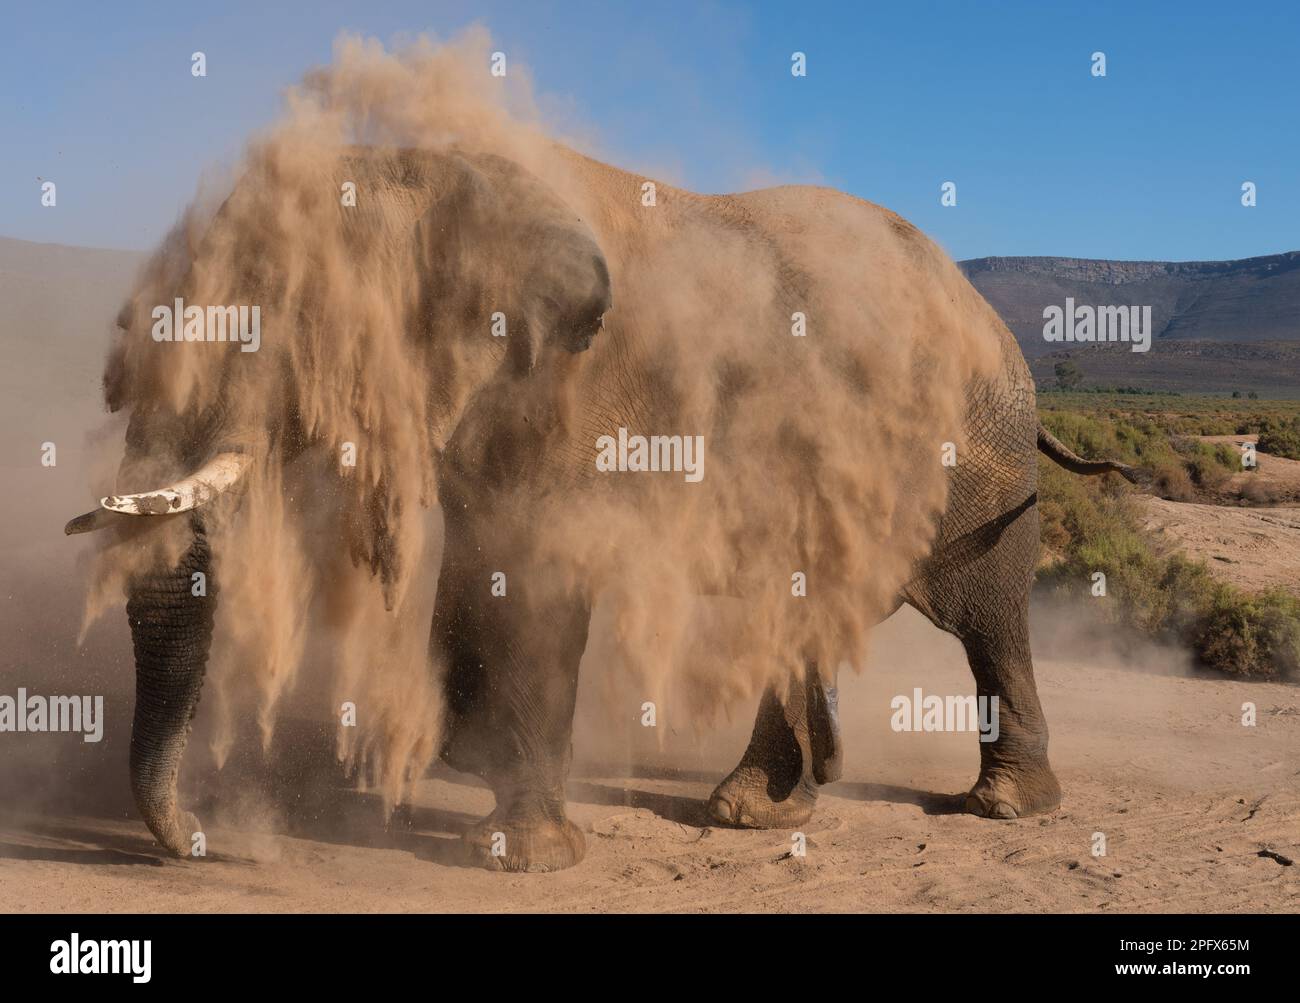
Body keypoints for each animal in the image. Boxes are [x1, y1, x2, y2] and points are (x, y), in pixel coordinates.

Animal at [68, 139, 1138, 867]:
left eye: (288, 323)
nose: (208, 837)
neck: (435, 172)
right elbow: (482, 564)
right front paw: (469, 764)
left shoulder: (569, 397)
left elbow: (540, 582)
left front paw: (521, 856)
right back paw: (751, 809)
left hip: (983, 457)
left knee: (985, 615)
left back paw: (1002, 807)